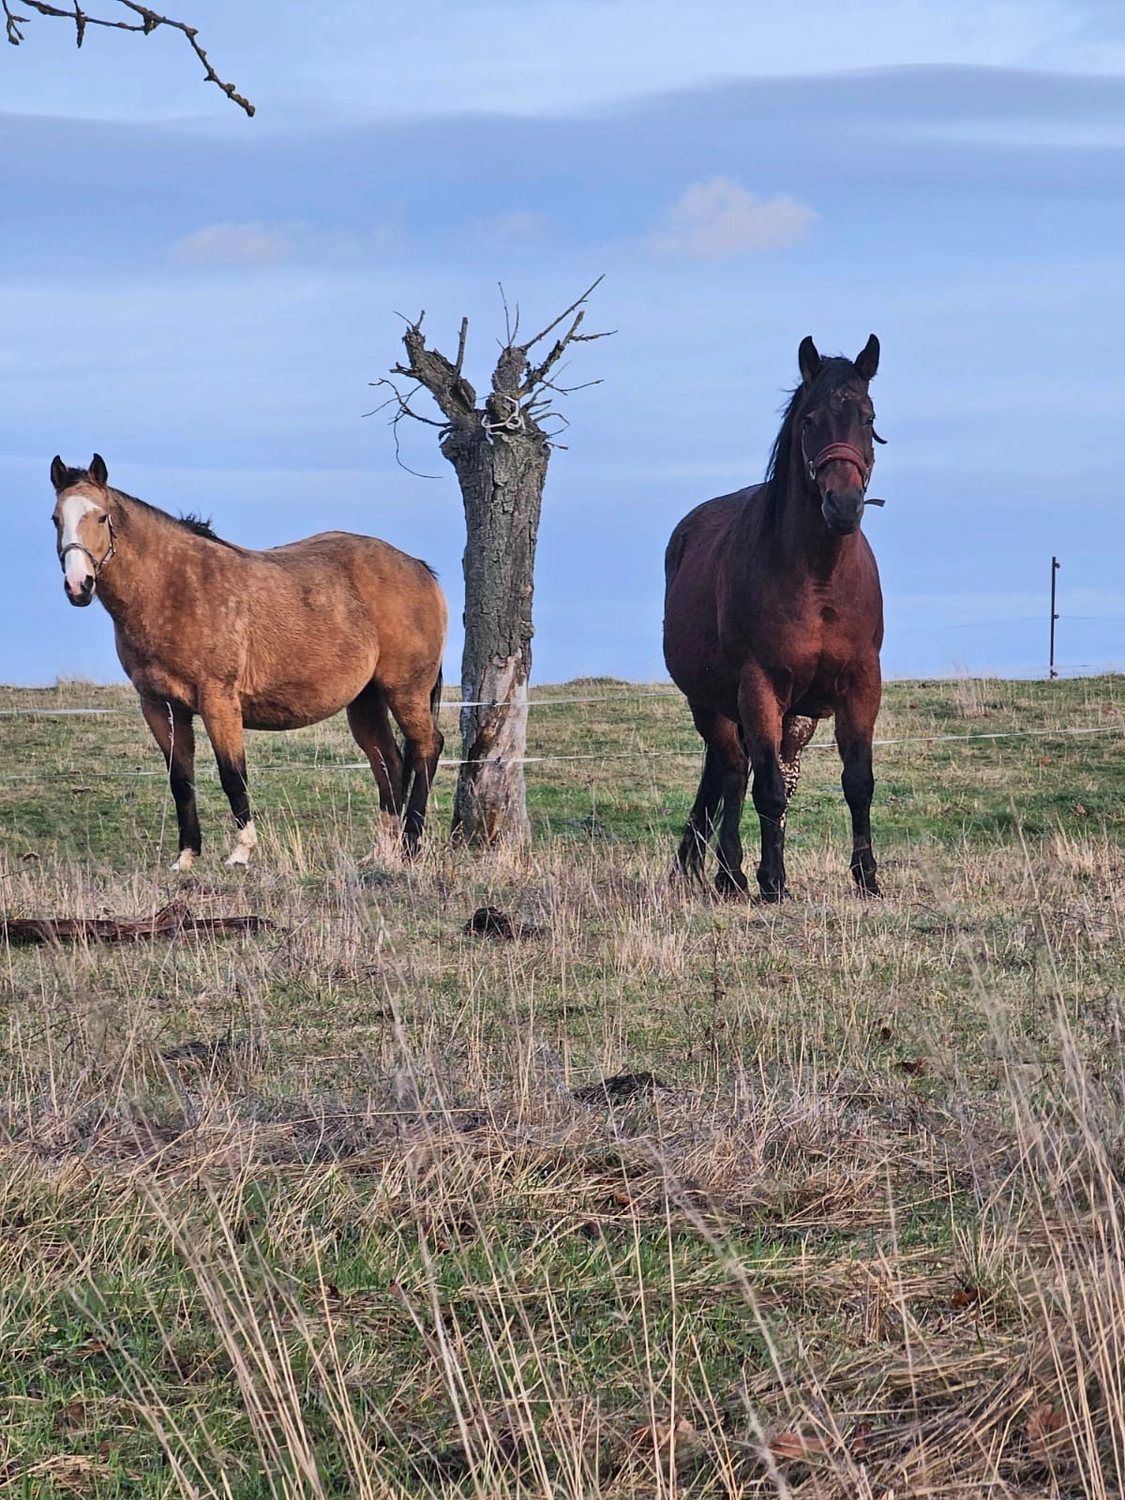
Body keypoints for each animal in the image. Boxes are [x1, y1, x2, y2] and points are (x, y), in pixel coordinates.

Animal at [50, 455, 447, 869]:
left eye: (100, 517)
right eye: (56, 519)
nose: (79, 585)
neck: (175, 589)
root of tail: (419, 569)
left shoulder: (218, 701)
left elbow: (232, 774)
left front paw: (241, 852)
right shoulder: (160, 707)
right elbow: (181, 780)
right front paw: (186, 857)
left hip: (406, 692)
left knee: (426, 748)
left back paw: (411, 844)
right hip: (366, 701)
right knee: (388, 762)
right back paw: (384, 852)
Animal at [663, 335, 885, 902]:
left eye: (868, 417)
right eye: (809, 421)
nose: (843, 505)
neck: (818, 578)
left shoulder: (861, 684)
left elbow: (857, 782)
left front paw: (868, 877)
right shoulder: (758, 685)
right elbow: (763, 789)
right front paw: (772, 881)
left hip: (791, 717)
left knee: (759, 773)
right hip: (713, 703)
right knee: (734, 772)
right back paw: (731, 873)